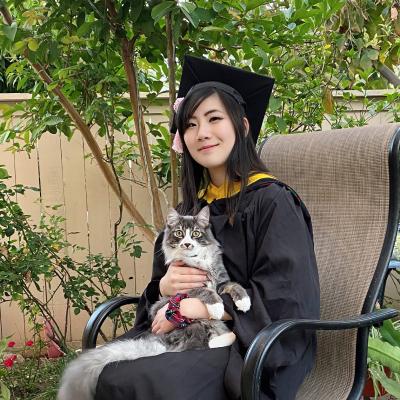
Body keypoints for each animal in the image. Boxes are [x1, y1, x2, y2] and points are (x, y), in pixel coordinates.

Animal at [57, 206, 250, 400]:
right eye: (179, 233)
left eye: (195, 233)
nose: (187, 244)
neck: (198, 260)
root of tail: (162, 343)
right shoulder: (187, 288)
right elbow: (206, 292)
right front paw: (217, 307)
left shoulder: (222, 280)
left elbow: (235, 285)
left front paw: (244, 302)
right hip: (193, 325)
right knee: (198, 343)